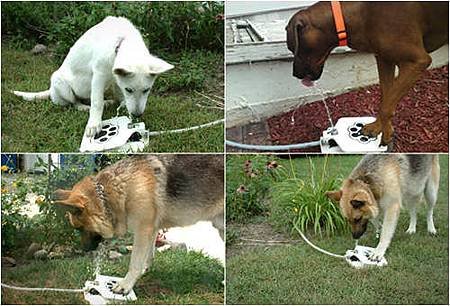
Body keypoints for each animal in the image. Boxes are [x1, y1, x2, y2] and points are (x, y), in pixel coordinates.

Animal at [13, 16, 172, 136]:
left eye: (146, 90)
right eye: (129, 90)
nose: (137, 115)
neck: (122, 40)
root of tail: (51, 91)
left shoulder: (116, 78)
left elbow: (117, 94)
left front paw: (123, 105)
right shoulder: (99, 75)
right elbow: (96, 102)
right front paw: (94, 124)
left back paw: (107, 102)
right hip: (61, 83)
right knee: (75, 103)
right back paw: (86, 108)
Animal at [53, 155, 224, 294]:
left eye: (79, 228)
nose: (84, 250)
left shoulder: (142, 230)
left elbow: (135, 261)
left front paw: (126, 285)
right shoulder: (152, 229)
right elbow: (148, 254)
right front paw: (144, 271)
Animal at [286, 1, 448, 146]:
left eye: (292, 47)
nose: (294, 74)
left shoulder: (417, 62)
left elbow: (386, 106)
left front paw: (380, 131)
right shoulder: (384, 59)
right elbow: (386, 98)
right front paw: (381, 129)